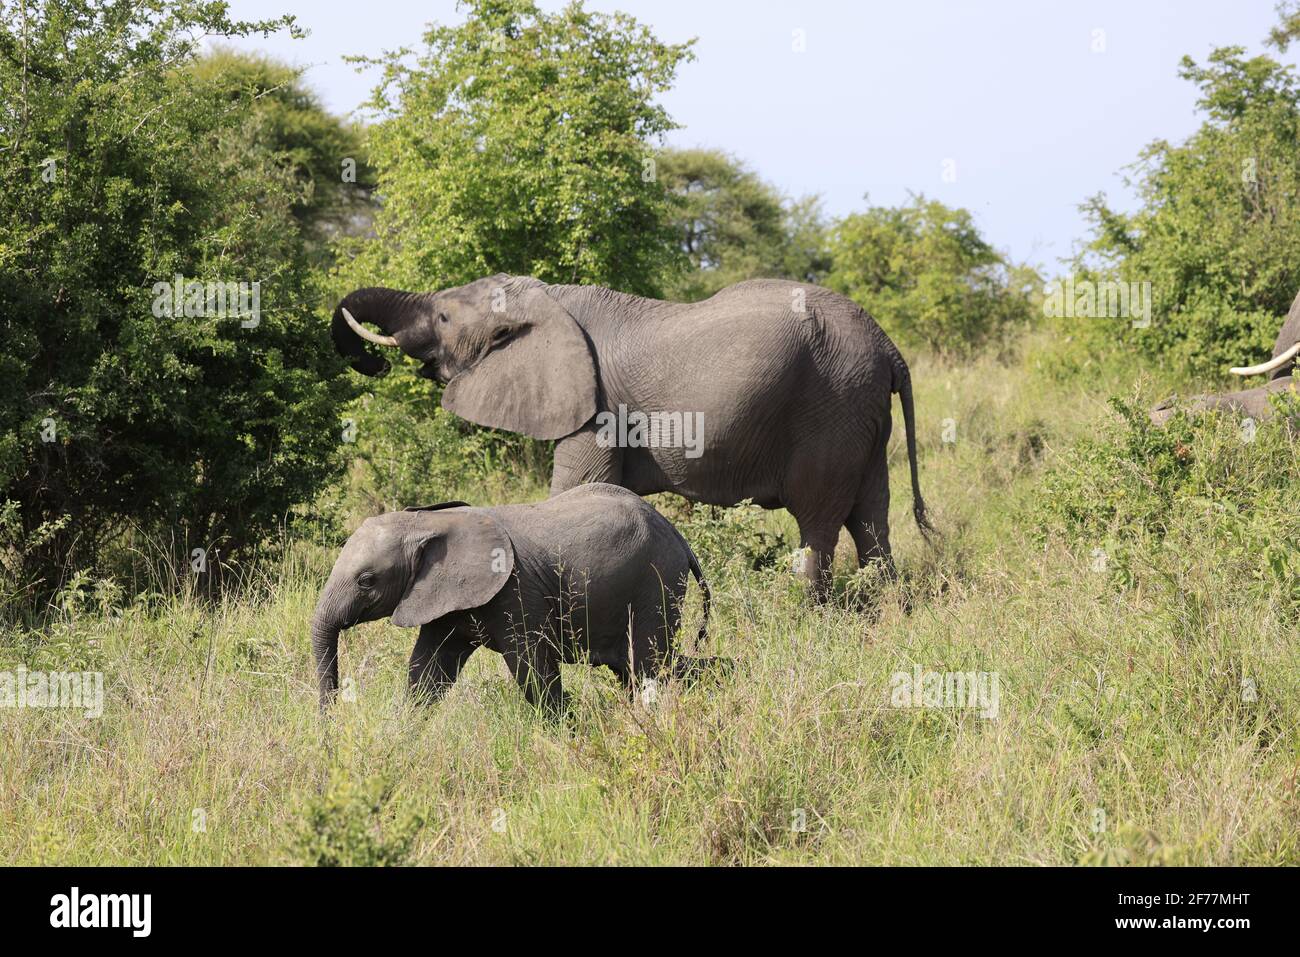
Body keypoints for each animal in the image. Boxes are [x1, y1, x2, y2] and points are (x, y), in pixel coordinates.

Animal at [312, 481, 722, 712]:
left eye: (366, 580)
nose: (332, 717)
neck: (428, 522)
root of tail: (678, 535)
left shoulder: (515, 592)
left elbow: (533, 676)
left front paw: (570, 732)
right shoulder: (443, 599)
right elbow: (426, 673)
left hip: (656, 581)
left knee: (650, 665)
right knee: (648, 666)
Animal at [330, 273, 930, 595]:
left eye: (445, 318)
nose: (369, 360)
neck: (547, 298)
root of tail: (890, 347)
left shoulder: (595, 406)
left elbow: (575, 490)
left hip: (830, 405)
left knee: (820, 520)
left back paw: (803, 611)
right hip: (860, 412)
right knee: (871, 516)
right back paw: (884, 609)